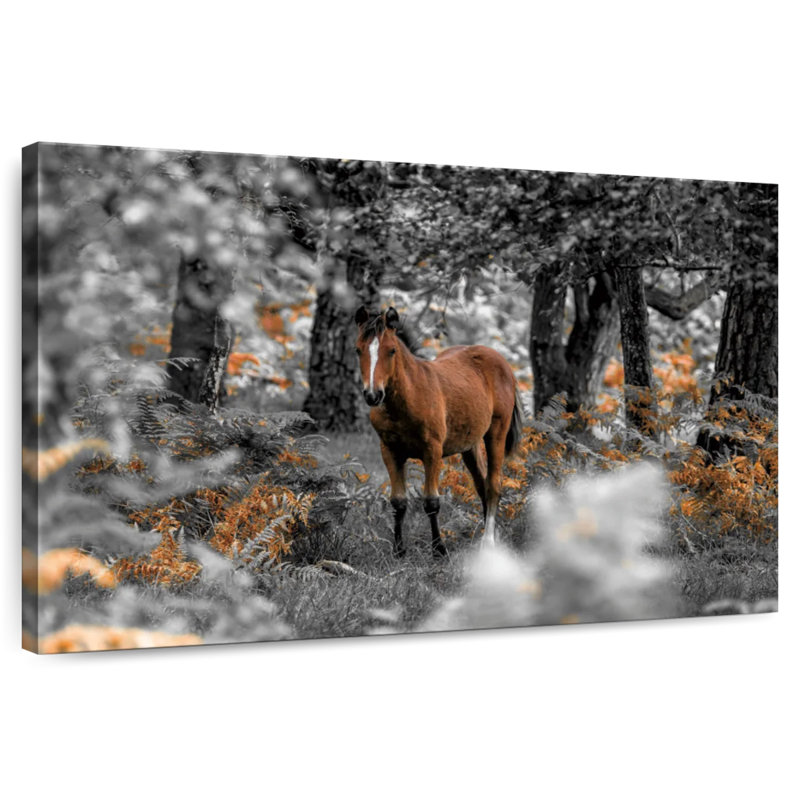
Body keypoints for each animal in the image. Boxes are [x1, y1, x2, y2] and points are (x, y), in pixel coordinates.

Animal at [354, 305, 523, 558]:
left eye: (391, 350)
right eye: (358, 350)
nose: (373, 395)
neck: (408, 398)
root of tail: (503, 364)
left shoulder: (432, 451)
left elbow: (431, 502)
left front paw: (439, 549)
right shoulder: (390, 451)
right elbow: (398, 502)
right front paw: (399, 550)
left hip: (496, 433)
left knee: (493, 485)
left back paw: (489, 542)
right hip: (470, 445)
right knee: (482, 485)